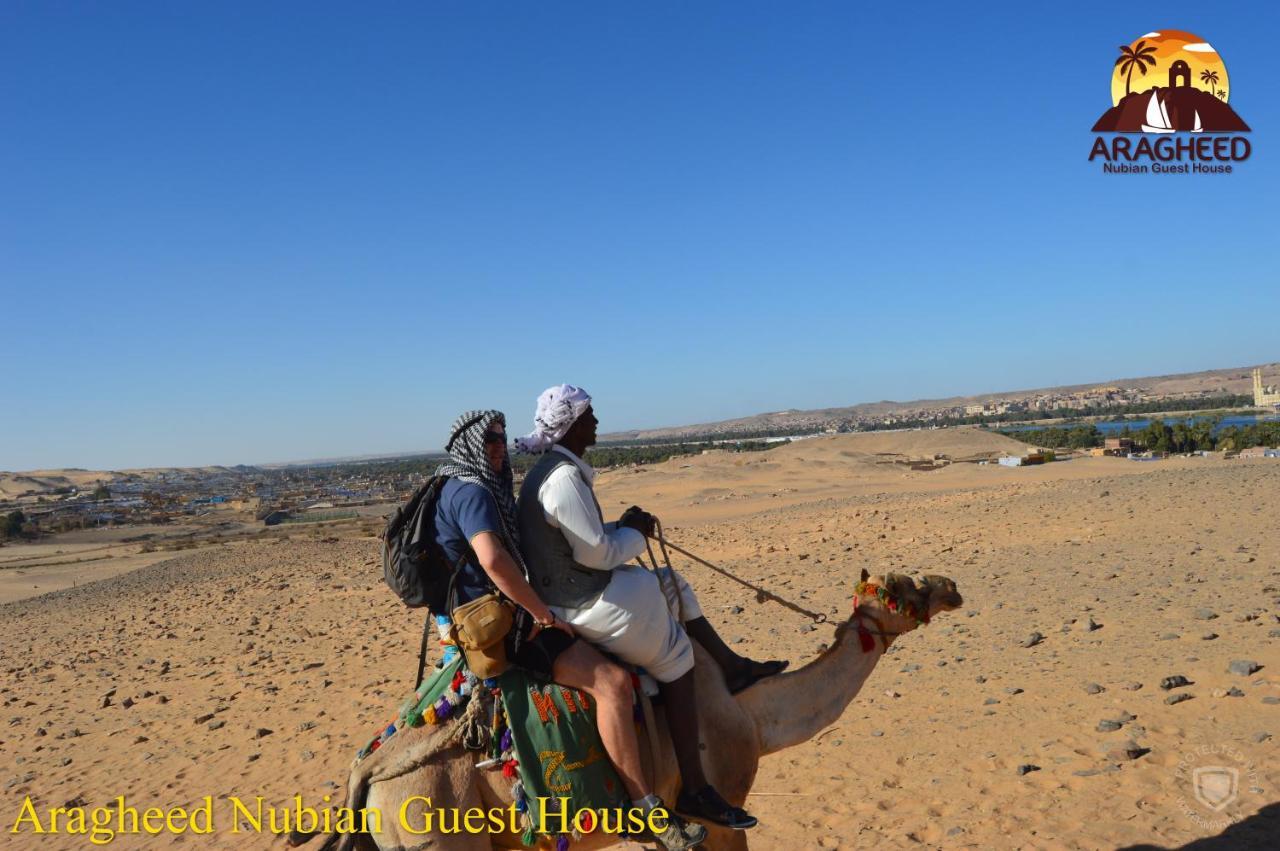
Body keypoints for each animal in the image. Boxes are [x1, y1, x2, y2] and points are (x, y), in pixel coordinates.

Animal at [290, 570, 962, 849]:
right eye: (902, 590)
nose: (950, 587)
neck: (752, 716)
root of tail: (368, 773)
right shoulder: (723, 809)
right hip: (432, 819)